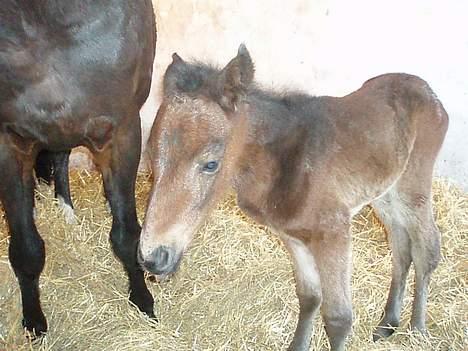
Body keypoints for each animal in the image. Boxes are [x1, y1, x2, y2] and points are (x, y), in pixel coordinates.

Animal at [0, 0, 157, 336]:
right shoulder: (8, 144)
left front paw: (143, 301)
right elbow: (26, 248)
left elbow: (126, 236)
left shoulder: (121, 134)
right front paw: (34, 321)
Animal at [140, 45, 450, 350]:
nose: (153, 258)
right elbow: (309, 296)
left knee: (427, 249)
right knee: (400, 248)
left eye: (211, 164)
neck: (287, 163)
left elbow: (338, 318)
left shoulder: (334, 233)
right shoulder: (294, 237)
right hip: (384, 194)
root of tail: (427, 90)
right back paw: (387, 324)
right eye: (151, 156)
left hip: (413, 187)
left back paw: (417, 329)